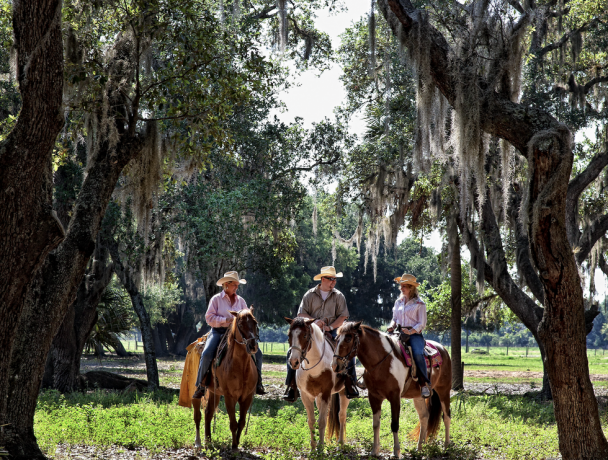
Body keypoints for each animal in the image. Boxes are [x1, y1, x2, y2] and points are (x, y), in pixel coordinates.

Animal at [194, 308, 260, 452]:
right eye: (240, 324)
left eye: (255, 322)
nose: (253, 346)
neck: (241, 367)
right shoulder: (230, 397)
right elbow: (233, 423)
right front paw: (234, 446)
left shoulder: (247, 397)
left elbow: (241, 422)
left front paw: (237, 442)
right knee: (200, 414)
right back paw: (201, 442)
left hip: (214, 392)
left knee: (208, 413)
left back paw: (208, 441)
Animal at [286, 316, 352, 450]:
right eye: (289, 335)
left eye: (305, 335)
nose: (294, 361)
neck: (314, 367)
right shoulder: (306, 395)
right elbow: (311, 421)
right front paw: (313, 448)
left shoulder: (326, 393)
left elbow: (322, 422)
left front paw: (321, 449)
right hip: (318, 398)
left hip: (343, 393)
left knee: (342, 415)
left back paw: (341, 443)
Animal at [332, 322, 452, 458]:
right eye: (336, 339)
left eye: (348, 339)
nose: (335, 365)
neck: (383, 362)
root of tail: (443, 349)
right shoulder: (374, 397)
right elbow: (375, 424)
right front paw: (375, 451)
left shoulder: (395, 397)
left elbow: (394, 424)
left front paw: (396, 451)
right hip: (418, 396)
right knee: (424, 417)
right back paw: (419, 448)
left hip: (444, 390)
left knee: (446, 416)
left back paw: (446, 447)